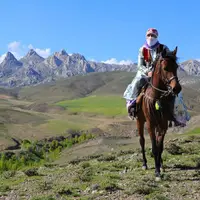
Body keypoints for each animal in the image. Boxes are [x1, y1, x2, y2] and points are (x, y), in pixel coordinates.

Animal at [136, 46, 181, 181]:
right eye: (165, 68)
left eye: (176, 67)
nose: (177, 88)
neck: (157, 97)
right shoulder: (150, 124)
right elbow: (155, 148)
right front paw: (156, 172)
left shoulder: (163, 124)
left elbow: (160, 147)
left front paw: (159, 167)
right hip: (140, 121)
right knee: (142, 141)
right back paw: (145, 164)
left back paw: (160, 164)